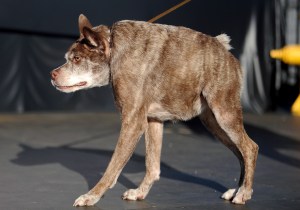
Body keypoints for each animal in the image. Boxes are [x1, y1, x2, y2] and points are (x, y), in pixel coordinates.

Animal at [49, 14, 258, 207]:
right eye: (67, 59)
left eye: (77, 59)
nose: (52, 74)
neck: (114, 50)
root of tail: (224, 49)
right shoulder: (152, 121)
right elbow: (152, 166)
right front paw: (140, 192)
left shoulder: (133, 122)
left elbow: (112, 167)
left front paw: (92, 196)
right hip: (213, 123)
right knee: (241, 153)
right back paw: (237, 189)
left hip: (225, 115)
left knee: (250, 148)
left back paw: (244, 193)